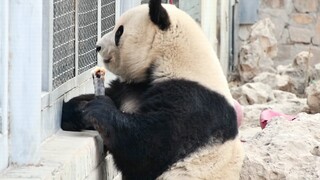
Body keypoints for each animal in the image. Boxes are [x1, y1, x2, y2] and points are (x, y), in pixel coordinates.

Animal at [61, 0, 244, 179]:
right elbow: (113, 95)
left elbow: (149, 147)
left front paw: (98, 109)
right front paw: (77, 109)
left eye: (119, 32)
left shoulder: (192, 103)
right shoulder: (135, 86)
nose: (98, 46)